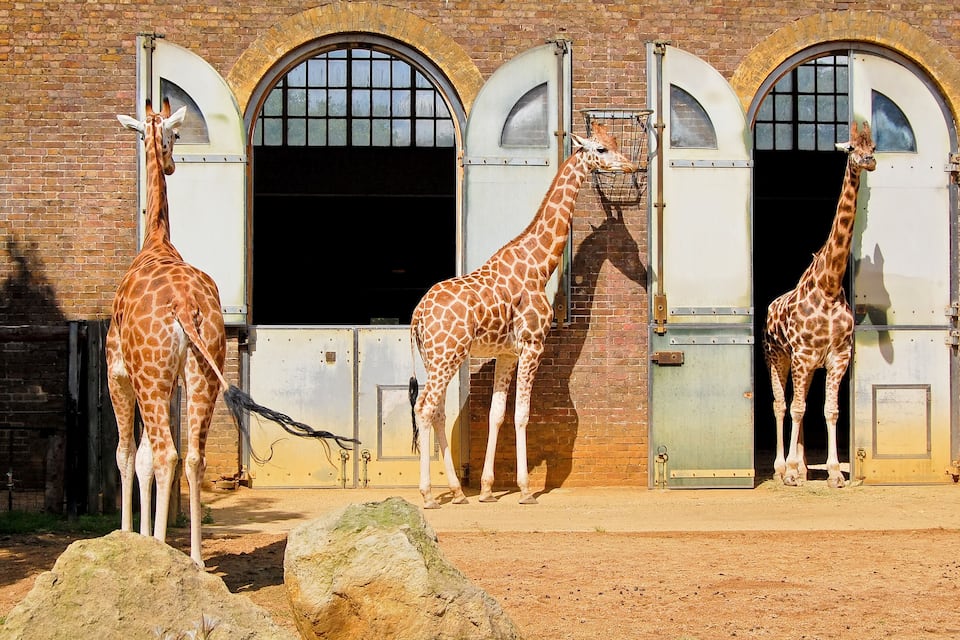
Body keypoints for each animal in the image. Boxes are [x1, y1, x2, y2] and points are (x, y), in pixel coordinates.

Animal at [109, 99, 356, 566]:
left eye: (176, 135)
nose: (171, 163)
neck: (155, 241)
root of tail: (183, 305)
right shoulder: (169, 380)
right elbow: (144, 455)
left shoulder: (119, 374)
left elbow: (129, 454)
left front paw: (130, 537)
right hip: (203, 371)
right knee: (194, 457)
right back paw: (195, 560)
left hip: (153, 376)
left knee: (165, 453)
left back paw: (169, 552)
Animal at [408, 123, 635, 509]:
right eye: (602, 149)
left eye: (617, 143)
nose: (632, 165)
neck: (539, 265)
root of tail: (417, 316)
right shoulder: (532, 345)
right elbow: (522, 415)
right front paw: (526, 489)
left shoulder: (507, 353)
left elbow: (497, 415)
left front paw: (486, 489)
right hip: (446, 356)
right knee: (424, 408)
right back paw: (427, 495)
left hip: (436, 358)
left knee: (436, 411)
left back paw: (458, 492)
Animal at [762, 120, 876, 489]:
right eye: (852, 148)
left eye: (874, 146)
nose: (869, 161)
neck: (828, 285)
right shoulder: (801, 356)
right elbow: (795, 408)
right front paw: (789, 472)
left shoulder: (837, 357)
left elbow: (830, 410)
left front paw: (835, 473)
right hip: (778, 357)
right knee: (781, 404)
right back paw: (782, 468)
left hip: (808, 366)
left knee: (802, 403)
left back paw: (801, 467)